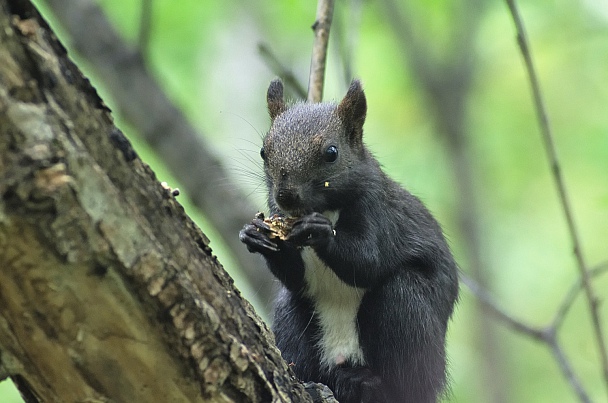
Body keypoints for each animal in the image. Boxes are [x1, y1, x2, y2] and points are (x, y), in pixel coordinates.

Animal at [240, 79, 458, 403]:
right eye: (263, 151)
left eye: (332, 152)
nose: (286, 196)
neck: (325, 208)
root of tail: (343, 360)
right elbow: (295, 276)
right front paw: (255, 234)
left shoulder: (379, 212)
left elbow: (368, 262)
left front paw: (319, 232)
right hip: (293, 319)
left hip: (407, 312)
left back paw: (374, 385)